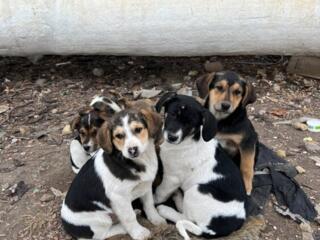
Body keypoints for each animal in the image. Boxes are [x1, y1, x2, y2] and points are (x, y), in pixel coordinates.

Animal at [60, 108, 165, 239]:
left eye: (138, 129)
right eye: (119, 136)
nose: (132, 150)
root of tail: (65, 224)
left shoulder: (145, 186)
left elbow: (149, 205)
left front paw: (156, 219)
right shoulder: (119, 197)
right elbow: (129, 217)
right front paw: (139, 233)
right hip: (101, 219)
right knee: (103, 234)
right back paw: (124, 227)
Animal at [155, 92, 248, 240]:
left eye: (189, 123)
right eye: (173, 114)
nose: (172, 137)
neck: (187, 141)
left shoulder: (172, 178)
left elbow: (160, 193)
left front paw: (153, 201)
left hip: (197, 190)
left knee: (187, 218)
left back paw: (165, 210)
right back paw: (177, 196)